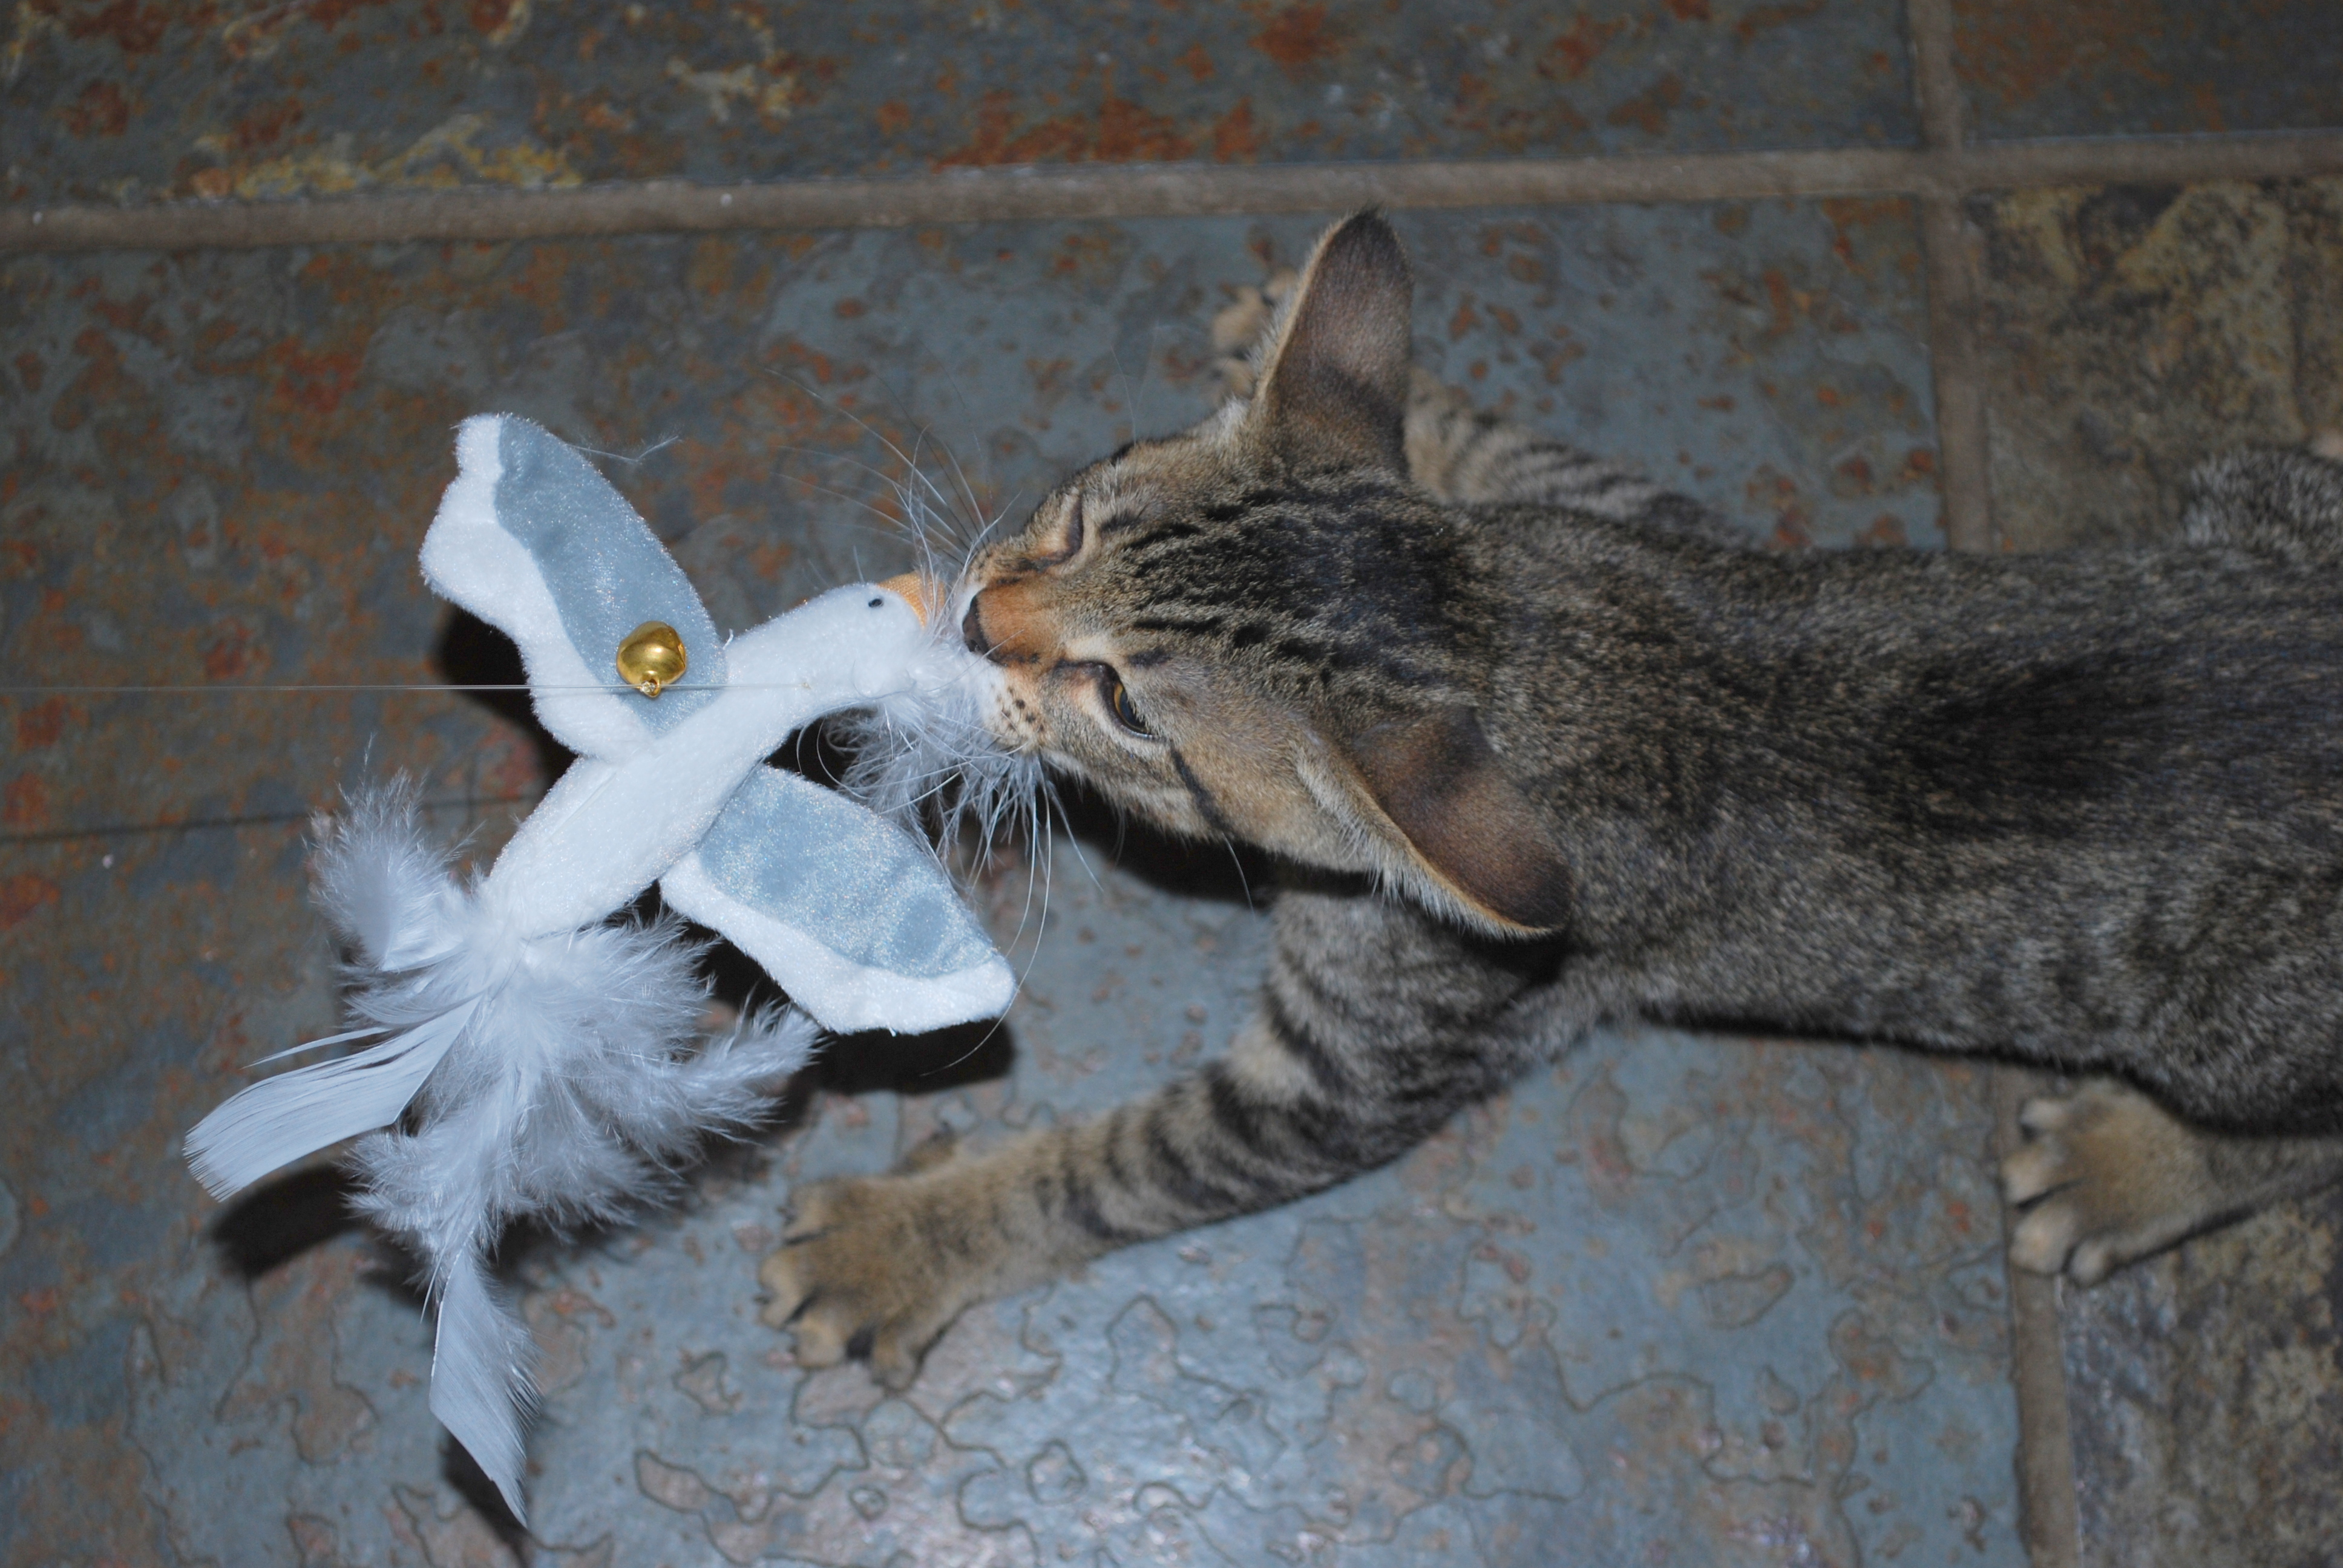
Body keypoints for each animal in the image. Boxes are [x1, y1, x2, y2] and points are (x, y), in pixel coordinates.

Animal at [759, 211, 2343, 1389]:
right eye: (1084, 510)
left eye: (1128, 706)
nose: (979, 620)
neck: (1524, 645)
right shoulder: (1635, 522)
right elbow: (1519, 458)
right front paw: (1403, 390)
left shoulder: (1350, 1072)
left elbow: (1117, 1169)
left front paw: (905, 1243)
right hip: (2245, 493)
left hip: (2233, 1026)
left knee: (2303, 1138)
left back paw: (2129, 1165)